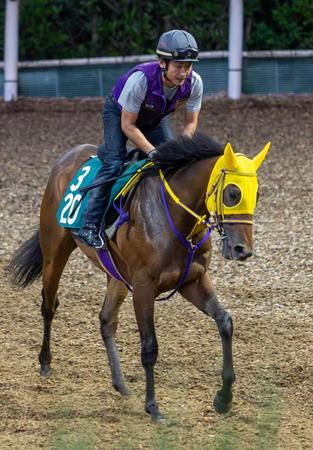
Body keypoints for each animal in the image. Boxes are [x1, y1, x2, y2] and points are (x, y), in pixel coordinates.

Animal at [7, 134, 270, 422]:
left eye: (257, 194)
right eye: (233, 193)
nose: (242, 250)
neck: (174, 218)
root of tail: (69, 156)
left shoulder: (193, 281)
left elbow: (224, 322)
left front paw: (224, 398)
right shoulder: (144, 286)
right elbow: (149, 346)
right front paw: (153, 406)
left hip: (116, 274)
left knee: (107, 320)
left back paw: (120, 383)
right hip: (54, 250)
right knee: (49, 305)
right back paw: (45, 363)